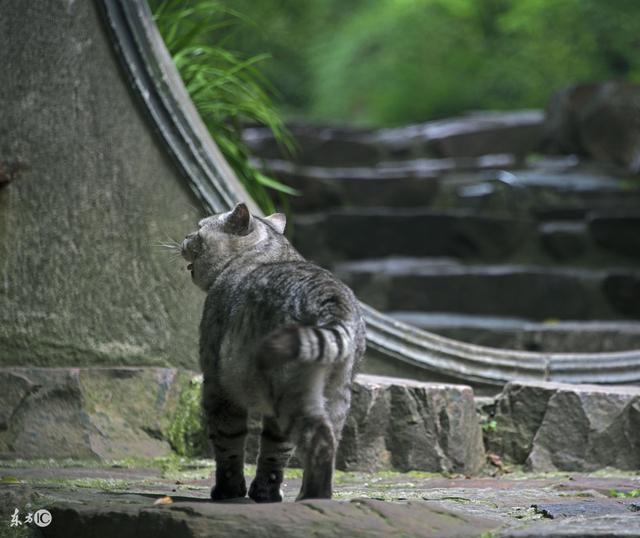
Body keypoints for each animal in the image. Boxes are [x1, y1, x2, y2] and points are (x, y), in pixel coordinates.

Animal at [182, 201, 368, 498]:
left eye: (199, 229)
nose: (186, 237)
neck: (268, 252)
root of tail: (330, 299)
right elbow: (274, 452)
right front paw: (264, 493)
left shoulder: (217, 386)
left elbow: (228, 444)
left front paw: (229, 490)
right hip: (336, 393)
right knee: (326, 439)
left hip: (290, 390)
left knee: (319, 438)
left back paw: (314, 496)